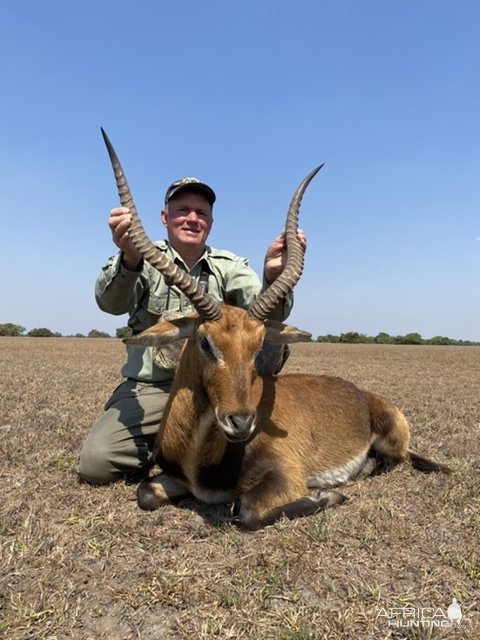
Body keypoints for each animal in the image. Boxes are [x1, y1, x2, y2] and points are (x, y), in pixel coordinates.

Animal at [101, 130, 450, 528]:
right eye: (206, 342)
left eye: (257, 348)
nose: (240, 422)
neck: (198, 458)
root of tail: (364, 395)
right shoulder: (173, 479)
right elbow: (145, 494)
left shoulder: (285, 478)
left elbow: (246, 512)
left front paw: (327, 495)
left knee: (396, 461)